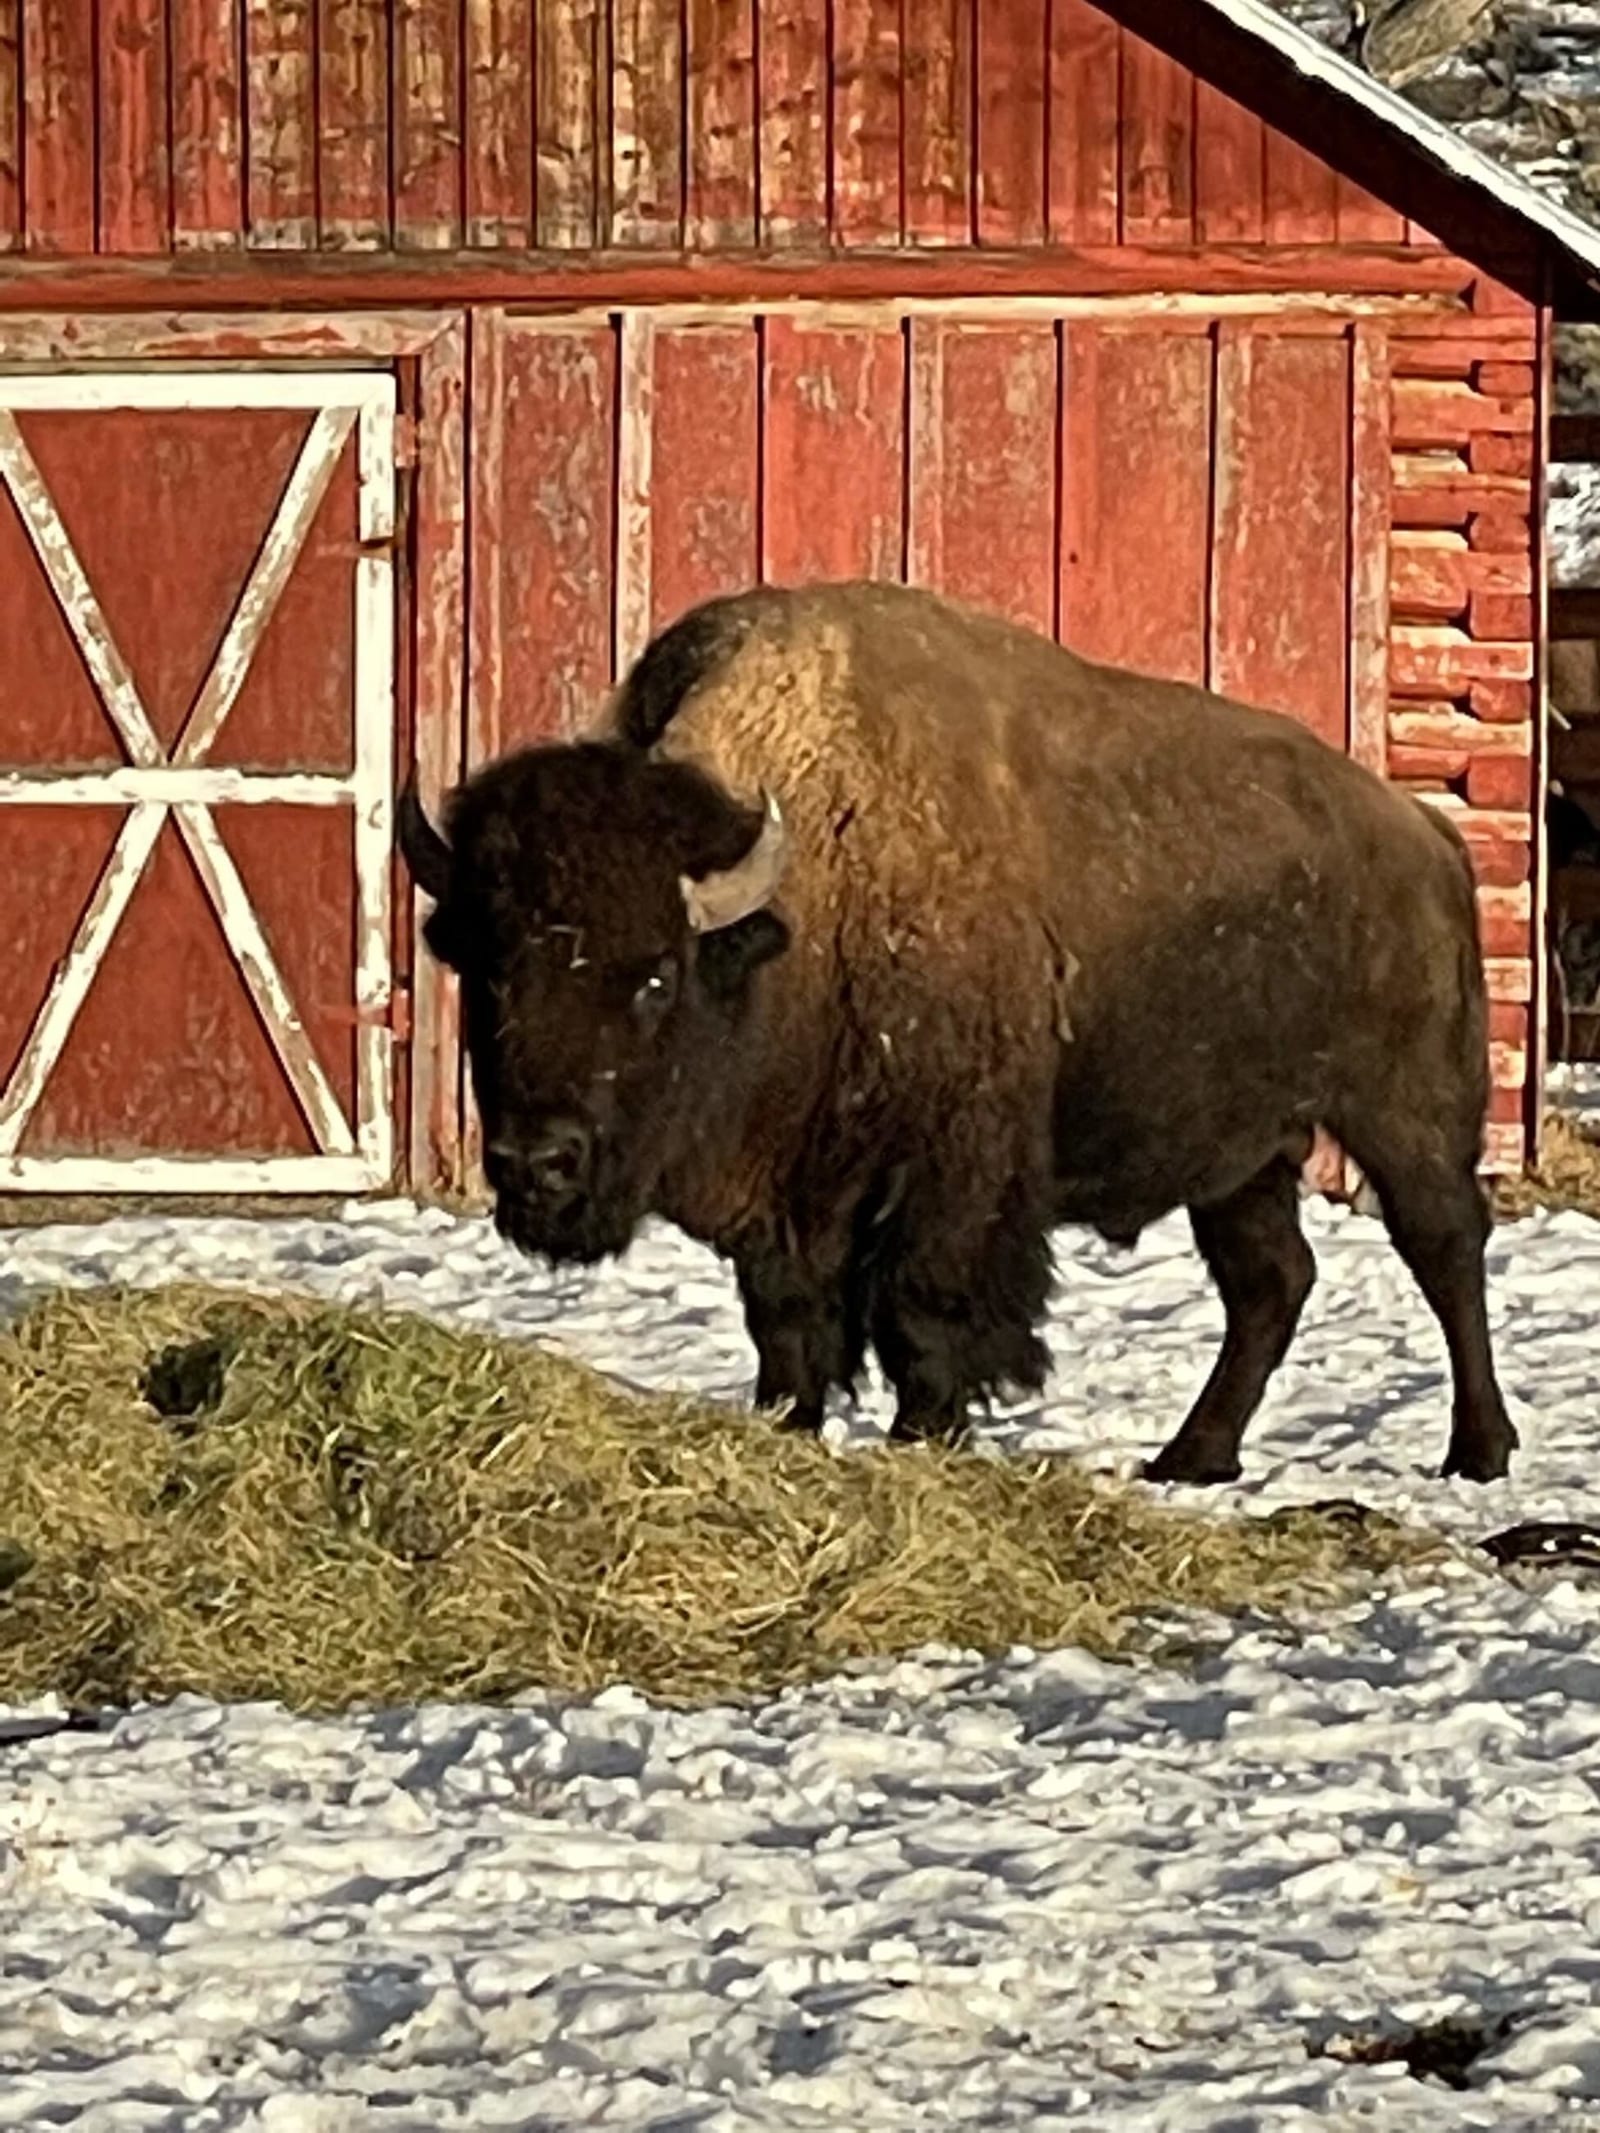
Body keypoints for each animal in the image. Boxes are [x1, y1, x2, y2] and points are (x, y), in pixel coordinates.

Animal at [399, 580, 1518, 1487]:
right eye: (486, 970)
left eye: (654, 976)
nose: (537, 1162)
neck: (788, 918)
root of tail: (1422, 833)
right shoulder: (790, 1205)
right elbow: (788, 1331)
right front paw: (790, 1430)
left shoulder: (947, 1177)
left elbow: (924, 1316)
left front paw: (924, 1438)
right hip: (1239, 1158)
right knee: (1269, 1282)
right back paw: (1191, 1459)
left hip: (1403, 1116)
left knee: (1445, 1247)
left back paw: (1478, 1450)